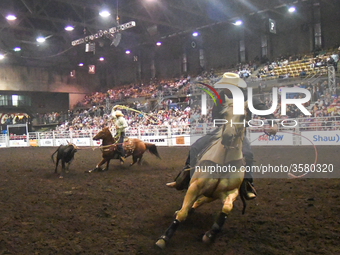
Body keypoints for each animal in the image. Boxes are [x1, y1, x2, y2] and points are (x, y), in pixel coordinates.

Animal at [156, 94, 247, 248]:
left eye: (243, 116)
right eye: (224, 114)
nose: (228, 136)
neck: (223, 161)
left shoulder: (231, 192)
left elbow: (226, 208)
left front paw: (210, 234)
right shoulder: (195, 186)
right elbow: (182, 214)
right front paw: (164, 238)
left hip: (211, 195)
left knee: (198, 202)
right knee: (188, 205)